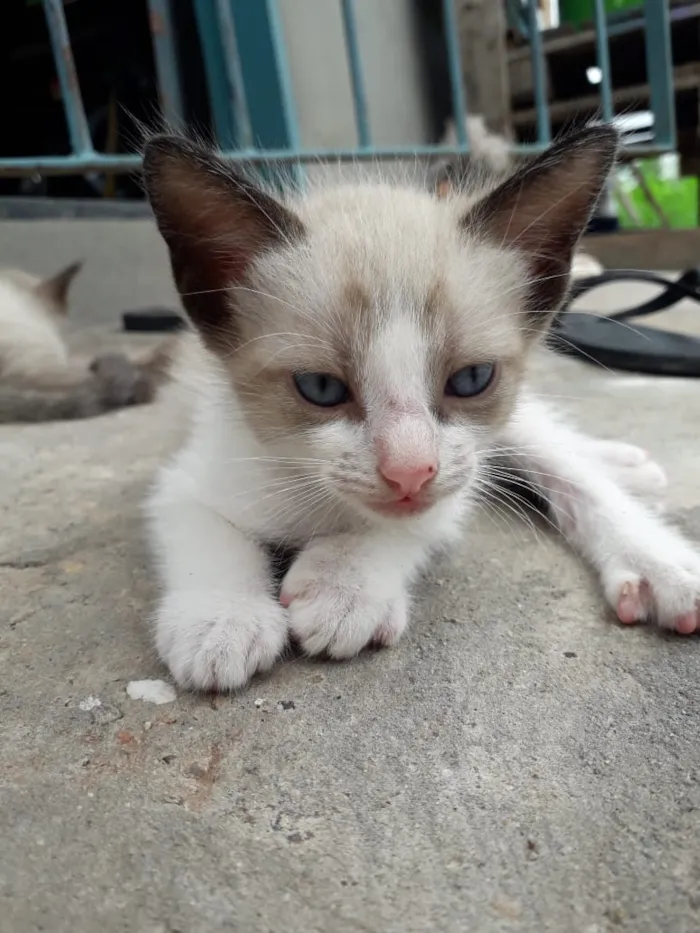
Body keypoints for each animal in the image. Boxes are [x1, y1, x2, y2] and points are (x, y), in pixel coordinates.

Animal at [142, 125, 700, 692]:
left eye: (471, 379)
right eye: (320, 387)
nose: (408, 471)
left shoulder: (452, 477)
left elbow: (419, 520)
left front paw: (345, 585)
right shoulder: (197, 469)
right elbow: (203, 531)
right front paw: (220, 618)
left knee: (557, 454)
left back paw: (647, 535)